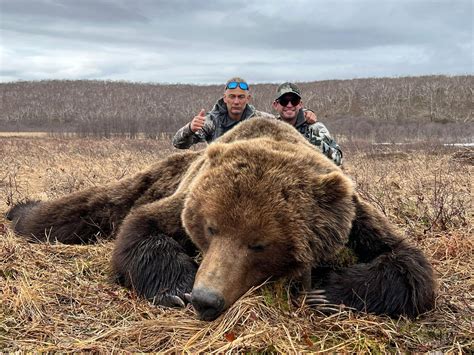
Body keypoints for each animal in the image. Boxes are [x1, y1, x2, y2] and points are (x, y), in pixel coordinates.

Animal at [8, 117, 436, 322]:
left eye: (259, 243)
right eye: (210, 228)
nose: (205, 298)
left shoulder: (356, 216)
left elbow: (408, 265)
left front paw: (324, 289)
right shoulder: (181, 199)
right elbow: (142, 228)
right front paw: (174, 288)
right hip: (153, 178)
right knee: (75, 210)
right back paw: (20, 210)